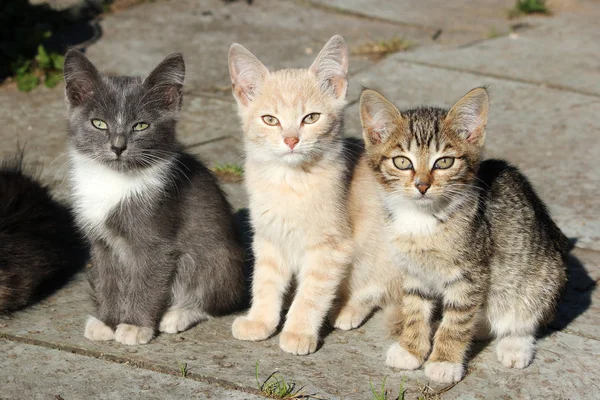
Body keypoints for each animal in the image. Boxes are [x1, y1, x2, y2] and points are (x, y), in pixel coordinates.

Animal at [63, 49, 246, 344]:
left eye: (141, 126)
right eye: (98, 123)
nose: (118, 147)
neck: (115, 180)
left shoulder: (156, 236)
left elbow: (149, 280)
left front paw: (135, 326)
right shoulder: (101, 242)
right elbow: (107, 278)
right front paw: (108, 322)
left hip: (219, 259)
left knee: (217, 296)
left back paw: (179, 314)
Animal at [229, 37, 404, 354]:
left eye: (310, 118)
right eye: (270, 120)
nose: (291, 140)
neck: (290, 183)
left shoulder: (331, 248)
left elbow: (311, 294)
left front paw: (298, 331)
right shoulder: (269, 239)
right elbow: (265, 282)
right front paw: (260, 321)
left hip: (382, 251)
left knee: (375, 289)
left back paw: (347, 309)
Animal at [358, 88, 568, 384]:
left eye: (444, 162)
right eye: (402, 162)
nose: (422, 185)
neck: (422, 219)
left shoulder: (470, 273)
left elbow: (456, 320)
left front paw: (444, 362)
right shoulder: (414, 270)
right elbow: (414, 308)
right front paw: (411, 350)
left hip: (543, 275)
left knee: (523, 315)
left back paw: (514, 344)